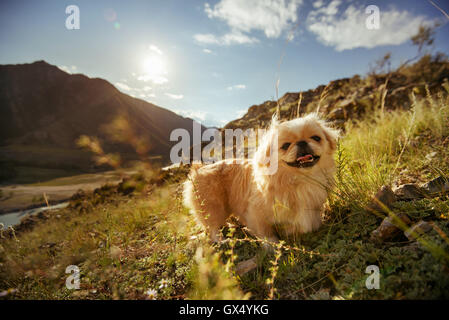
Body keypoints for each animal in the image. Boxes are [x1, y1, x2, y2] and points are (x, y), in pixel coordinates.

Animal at [181, 114, 336, 241]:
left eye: (316, 138)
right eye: (286, 145)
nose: (302, 142)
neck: (298, 180)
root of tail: (198, 170)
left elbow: (303, 225)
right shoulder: (255, 213)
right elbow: (266, 232)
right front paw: (273, 245)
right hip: (212, 208)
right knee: (213, 229)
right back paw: (223, 240)